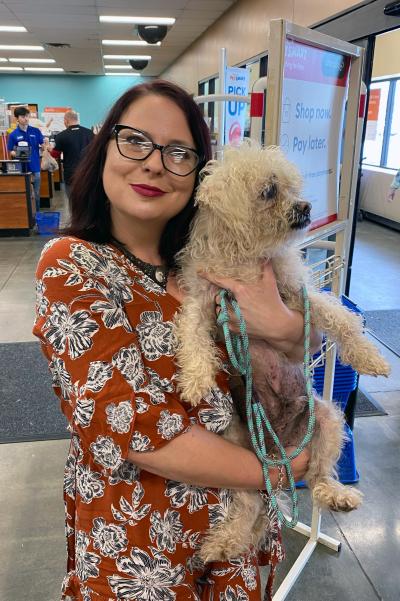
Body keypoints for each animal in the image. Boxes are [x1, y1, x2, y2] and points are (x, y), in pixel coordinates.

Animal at [177, 142, 392, 564]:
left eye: (292, 188)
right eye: (269, 191)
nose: (306, 207)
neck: (244, 256)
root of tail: (283, 448)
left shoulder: (296, 294)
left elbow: (339, 317)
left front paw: (369, 356)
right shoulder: (204, 299)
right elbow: (191, 333)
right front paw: (195, 379)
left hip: (326, 420)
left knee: (320, 475)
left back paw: (337, 495)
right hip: (234, 443)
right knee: (249, 503)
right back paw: (226, 541)